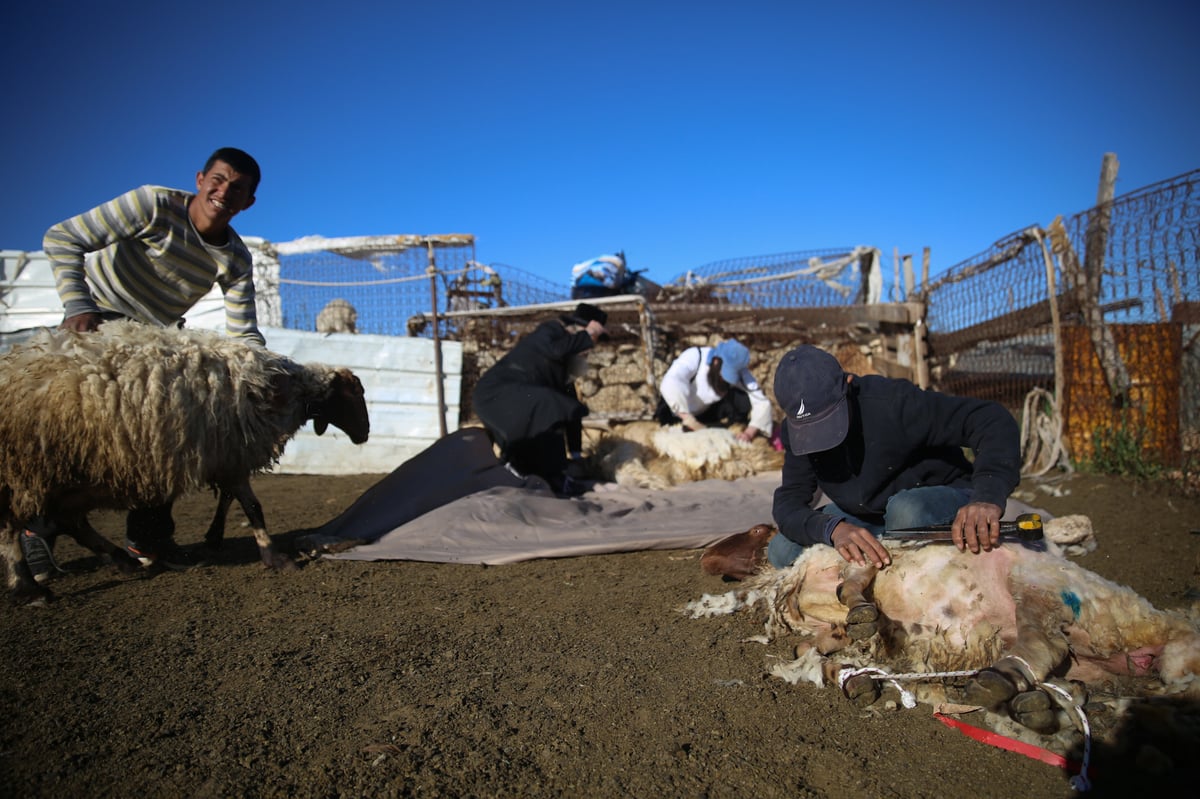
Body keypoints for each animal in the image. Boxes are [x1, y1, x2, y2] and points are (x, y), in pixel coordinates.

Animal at [0, 321, 369, 599]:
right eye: (356, 394)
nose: (365, 434)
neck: (282, 389)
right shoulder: (231, 451)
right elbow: (253, 507)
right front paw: (273, 556)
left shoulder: (226, 456)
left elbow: (235, 500)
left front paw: (218, 538)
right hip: (23, 472)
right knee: (11, 527)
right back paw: (27, 588)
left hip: (66, 472)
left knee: (71, 521)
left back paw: (121, 560)